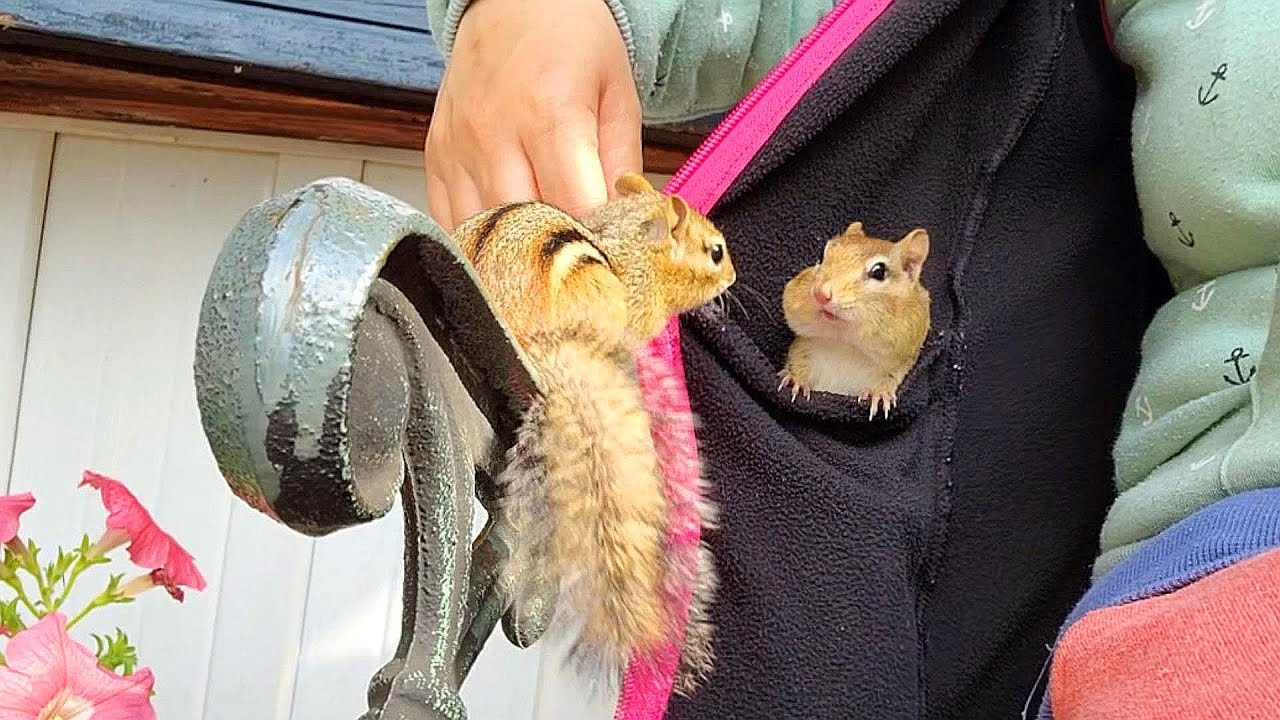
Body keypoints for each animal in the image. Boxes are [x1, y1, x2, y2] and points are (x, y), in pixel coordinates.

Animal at [778, 221, 931, 419]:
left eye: (879, 272)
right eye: (822, 256)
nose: (820, 294)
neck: (844, 346)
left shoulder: (896, 366)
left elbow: (889, 381)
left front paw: (879, 394)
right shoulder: (803, 347)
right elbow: (797, 361)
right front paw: (795, 379)